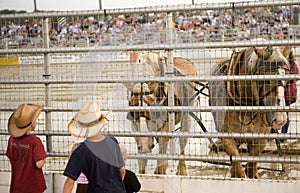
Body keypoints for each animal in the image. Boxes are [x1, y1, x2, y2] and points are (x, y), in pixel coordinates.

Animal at [210, 46, 292, 179]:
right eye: (267, 80)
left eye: (287, 80)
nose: (280, 119)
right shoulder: (227, 137)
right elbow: (238, 170)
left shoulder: (260, 139)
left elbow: (251, 169)